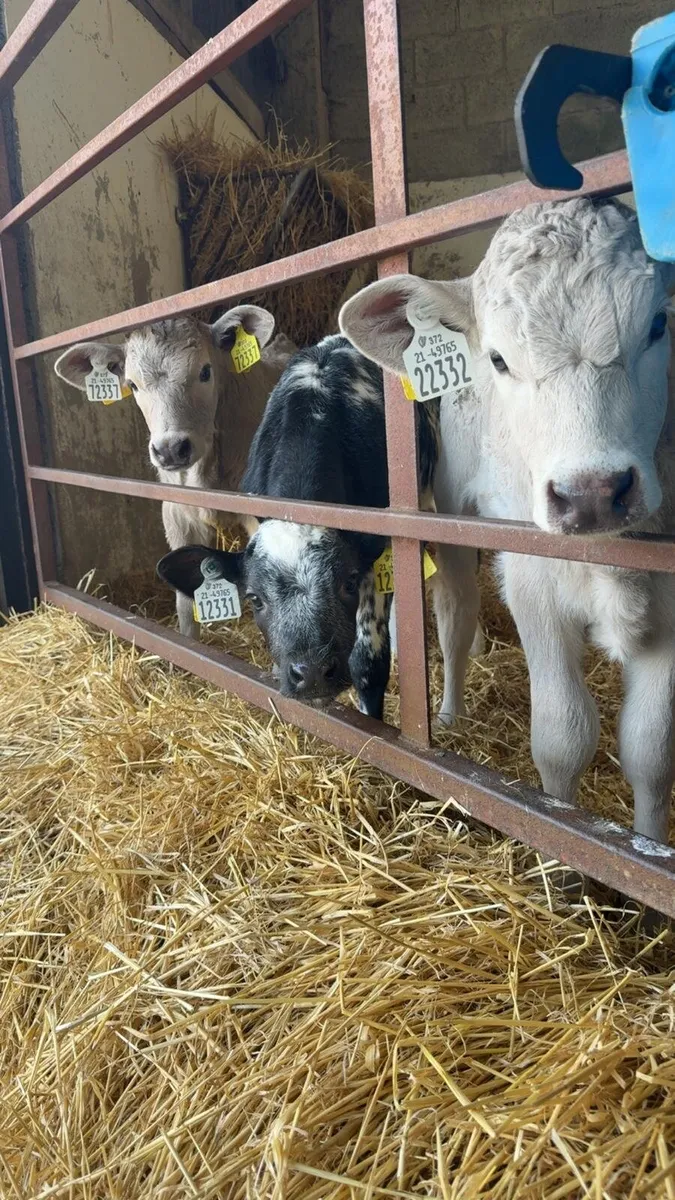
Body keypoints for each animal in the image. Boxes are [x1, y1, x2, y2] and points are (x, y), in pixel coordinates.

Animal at [340, 197, 675, 845]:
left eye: (657, 327)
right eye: (498, 359)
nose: (592, 493)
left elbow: (651, 750)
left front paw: (645, 852)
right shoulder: (533, 582)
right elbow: (563, 736)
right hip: (454, 515)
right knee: (455, 615)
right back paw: (447, 714)